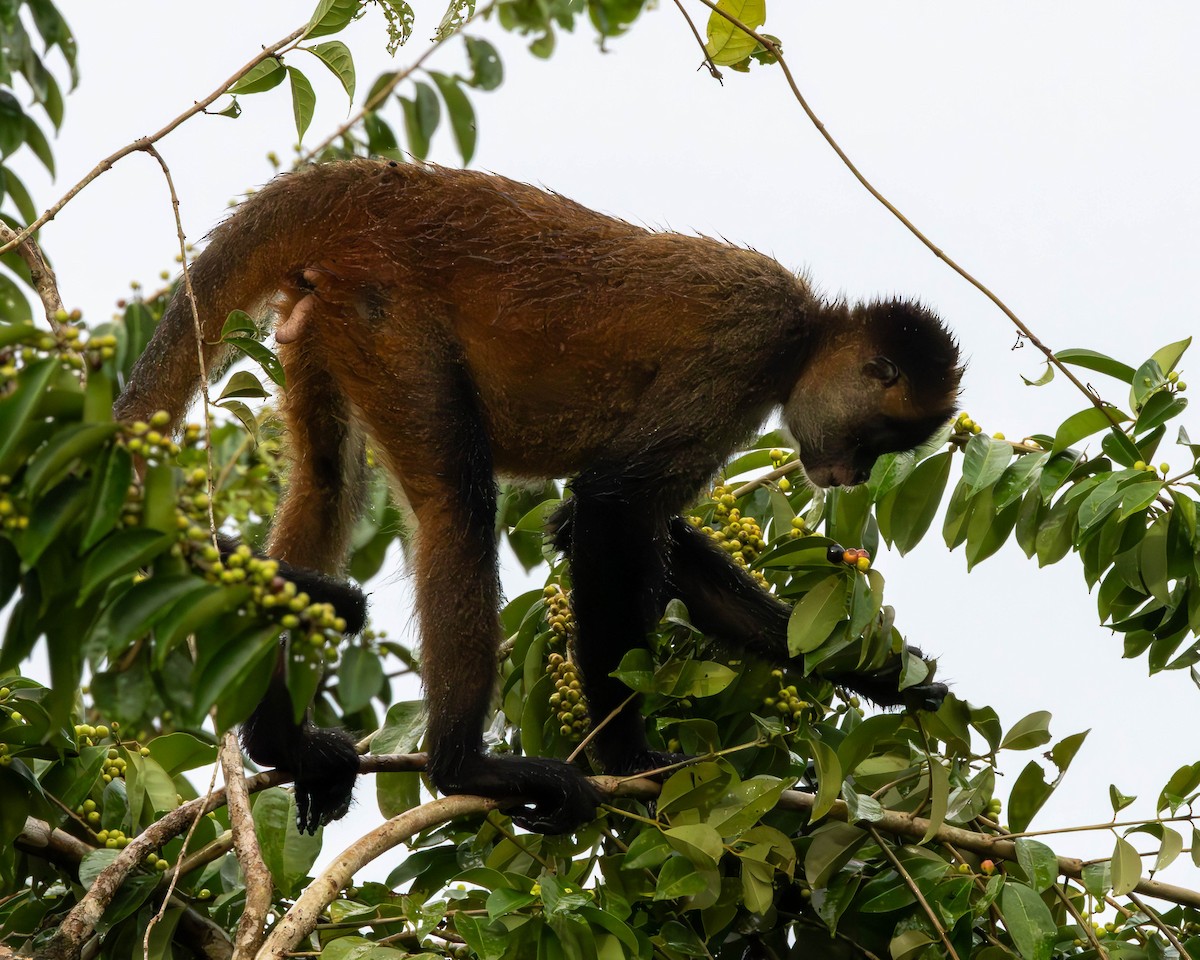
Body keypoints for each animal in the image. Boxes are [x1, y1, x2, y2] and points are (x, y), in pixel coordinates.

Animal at [114, 159, 962, 835]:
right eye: (876, 441)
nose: (848, 476)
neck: (805, 334)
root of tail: (380, 187)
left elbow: (592, 522)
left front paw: (881, 673)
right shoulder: (747, 345)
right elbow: (609, 506)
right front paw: (629, 755)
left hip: (327, 316)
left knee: (328, 479)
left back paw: (278, 744)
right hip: (387, 318)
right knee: (457, 505)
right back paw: (463, 769)